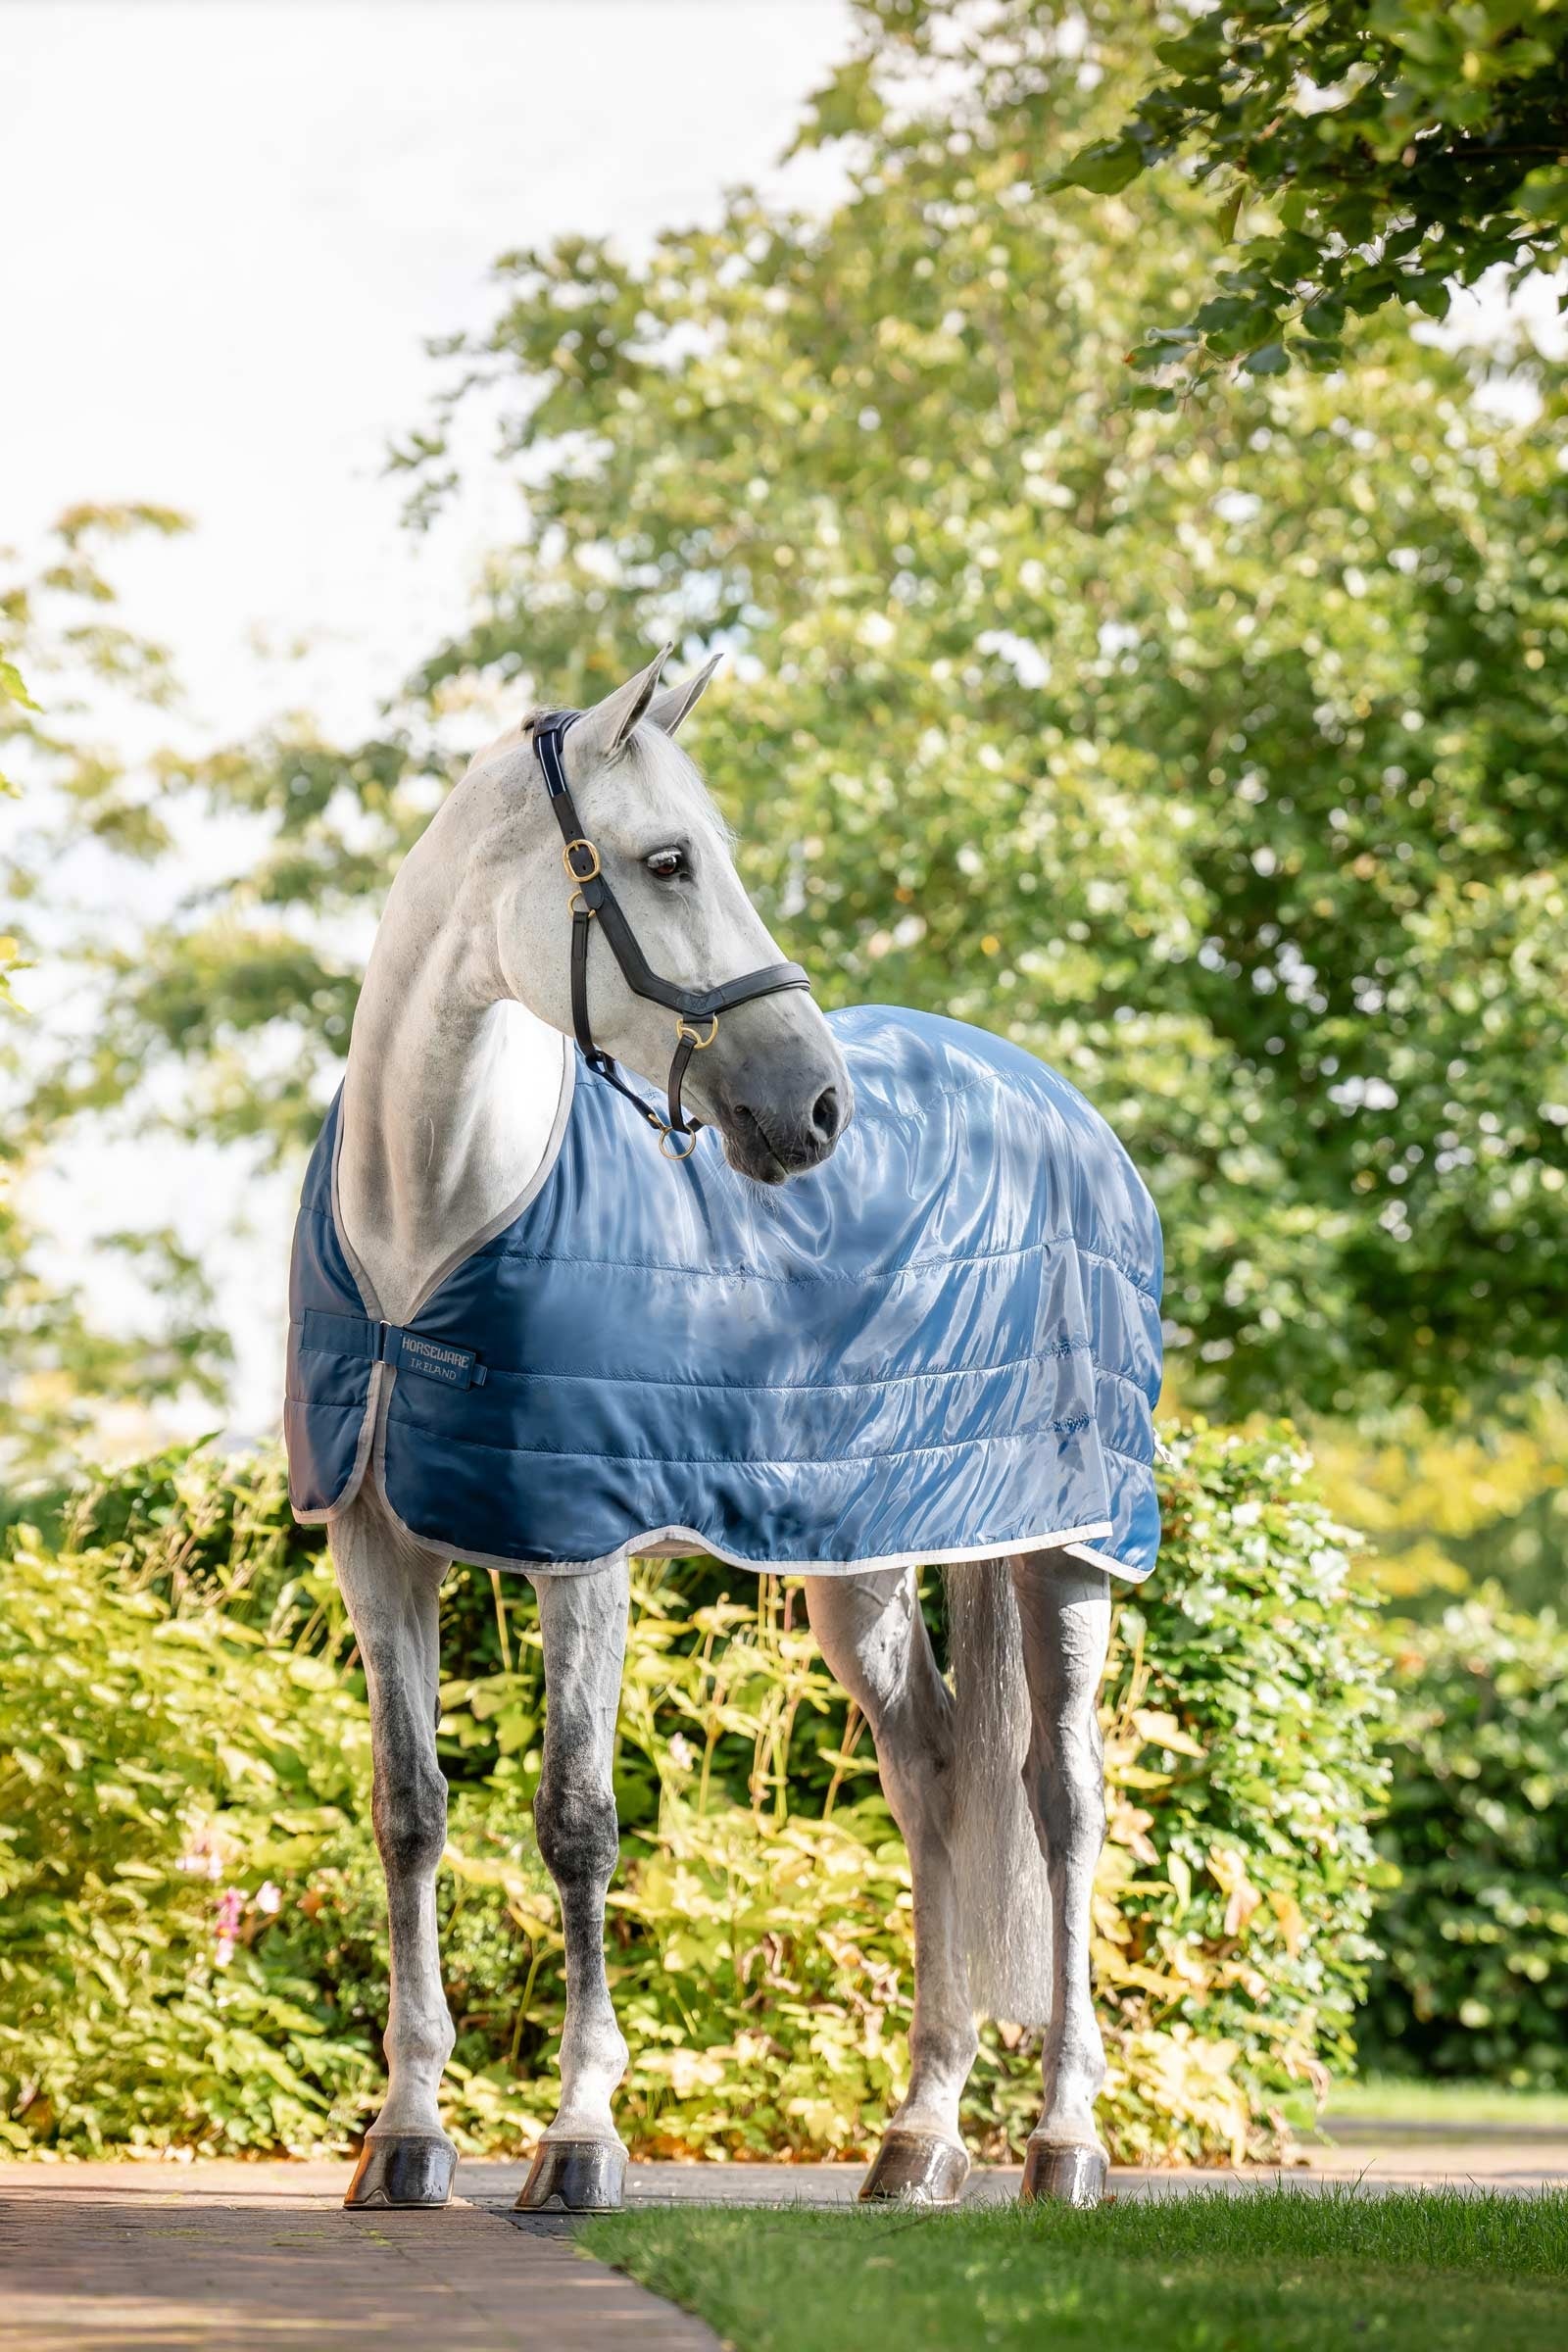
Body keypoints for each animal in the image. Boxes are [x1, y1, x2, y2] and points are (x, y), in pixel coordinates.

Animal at [284, 648, 1163, 2215]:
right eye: (668, 861)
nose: (813, 1109)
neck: (430, 1219)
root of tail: (1060, 1107)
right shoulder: (378, 1544)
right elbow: (409, 1812)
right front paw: (406, 2136)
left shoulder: (582, 1553)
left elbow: (576, 1822)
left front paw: (578, 2141)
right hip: (861, 1564)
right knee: (935, 1778)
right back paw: (917, 2140)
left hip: (1067, 1546)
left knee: (1061, 1803)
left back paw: (1062, 2143)